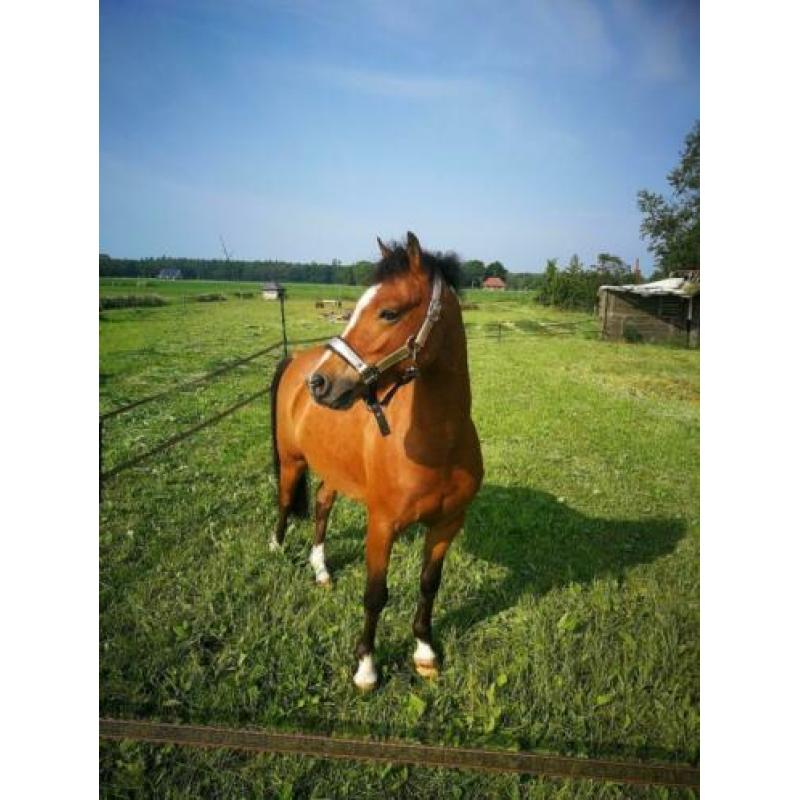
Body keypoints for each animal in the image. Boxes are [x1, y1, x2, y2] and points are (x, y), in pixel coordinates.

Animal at [269, 232, 483, 690]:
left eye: (389, 312)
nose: (321, 383)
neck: (439, 445)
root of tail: (296, 359)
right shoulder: (382, 525)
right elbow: (375, 594)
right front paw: (366, 666)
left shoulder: (446, 524)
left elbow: (429, 584)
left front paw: (424, 652)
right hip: (292, 461)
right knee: (285, 500)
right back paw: (276, 547)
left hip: (331, 470)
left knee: (321, 505)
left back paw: (321, 570)